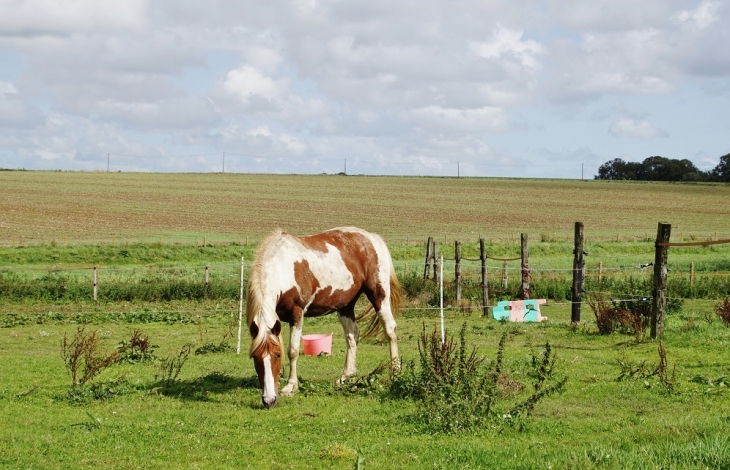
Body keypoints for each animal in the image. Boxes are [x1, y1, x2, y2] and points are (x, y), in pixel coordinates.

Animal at [247, 227, 400, 408]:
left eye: (277, 355)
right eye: (255, 356)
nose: (269, 400)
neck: (282, 266)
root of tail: (372, 238)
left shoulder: (297, 314)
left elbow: (293, 351)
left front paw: (291, 387)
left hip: (379, 296)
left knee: (390, 330)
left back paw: (395, 372)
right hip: (345, 305)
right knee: (352, 336)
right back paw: (346, 377)